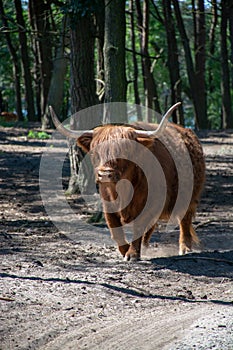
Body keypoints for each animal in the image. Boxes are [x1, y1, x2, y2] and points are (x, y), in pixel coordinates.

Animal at [50, 105, 205, 262]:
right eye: (94, 153)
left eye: (124, 151)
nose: (104, 174)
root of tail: (186, 132)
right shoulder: (107, 204)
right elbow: (115, 229)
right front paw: (125, 250)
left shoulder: (147, 204)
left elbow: (139, 226)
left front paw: (132, 254)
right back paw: (146, 244)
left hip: (189, 195)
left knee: (184, 220)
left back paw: (185, 248)